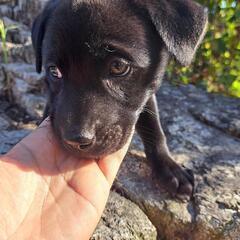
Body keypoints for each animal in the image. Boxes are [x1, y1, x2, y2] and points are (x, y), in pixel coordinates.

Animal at [31, 0, 208, 200]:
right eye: (54, 71)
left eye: (118, 66)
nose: (75, 141)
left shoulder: (147, 94)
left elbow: (154, 126)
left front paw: (169, 167)